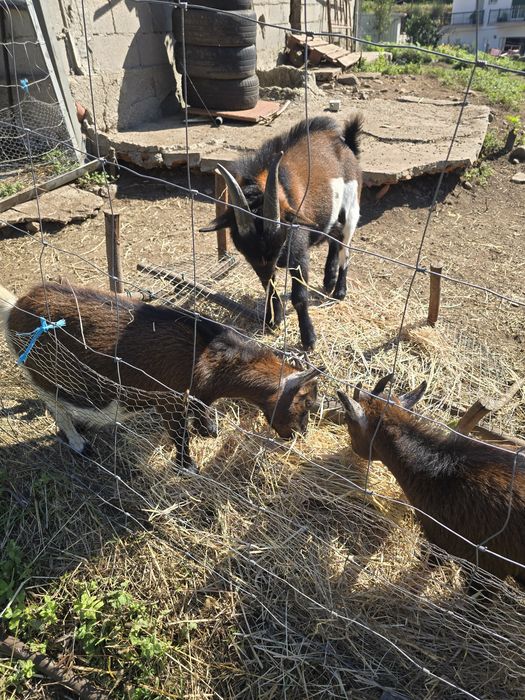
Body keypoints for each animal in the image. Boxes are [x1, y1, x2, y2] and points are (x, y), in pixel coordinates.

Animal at [0, 282, 321, 472]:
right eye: (304, 403)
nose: (301, 434)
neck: (207, 354)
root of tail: (14, 308)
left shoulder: (197, 395)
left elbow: (201, 413)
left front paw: (209, 431)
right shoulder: (168, 399)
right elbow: (179, 434)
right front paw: (187, 466)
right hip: (40, 375)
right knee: (54, 404)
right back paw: (80, 444)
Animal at [200, 115, 363, 351]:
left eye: (280, 239)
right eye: (244, 247)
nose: (271, 267)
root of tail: (344, 143)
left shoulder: (299, 255)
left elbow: (299, 297)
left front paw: (308, 339)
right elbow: (270, 287)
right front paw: (272, 320)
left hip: (351, 208)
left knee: (346, 247)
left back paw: (340, 290)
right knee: (335, 237)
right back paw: (328, 280)